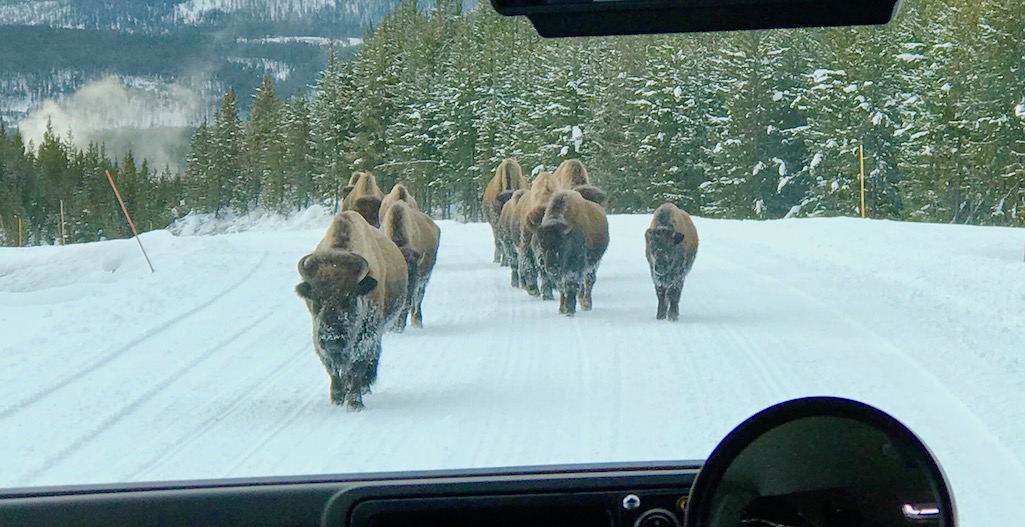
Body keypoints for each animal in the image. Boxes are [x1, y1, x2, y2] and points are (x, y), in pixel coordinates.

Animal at [295, 211, 405, 408]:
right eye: (315, 298)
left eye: (350, 297)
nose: (332, 340)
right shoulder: (319, 339)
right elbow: (332, 368)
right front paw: (337, 397)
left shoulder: (367, 336)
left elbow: (357, 366)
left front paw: (354, 403)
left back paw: (364, 387)